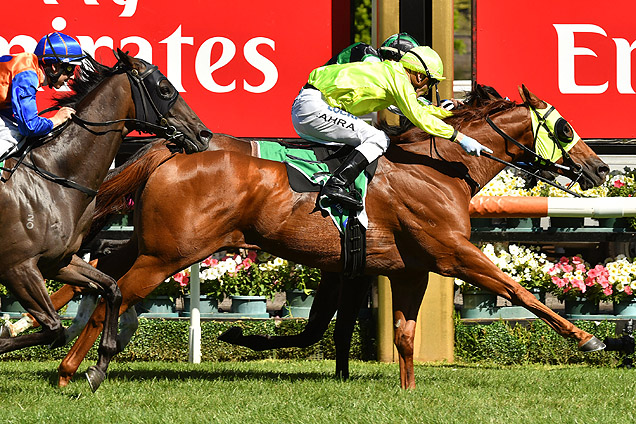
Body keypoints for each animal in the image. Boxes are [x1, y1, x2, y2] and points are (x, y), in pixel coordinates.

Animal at [0, 49, 211, 390]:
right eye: (164, 89)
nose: (204, 134)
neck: (54, 176)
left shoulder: (57, 262)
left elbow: (111, 289)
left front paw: (99, 366)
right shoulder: (17, 268)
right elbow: (54, 328)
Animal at [46, 84, 612, 390]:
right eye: (564, 128)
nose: (601, 168)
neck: (438, 169)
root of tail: (176, 149)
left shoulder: (406, 268)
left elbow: (402, 334)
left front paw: (407, 391)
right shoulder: (452, 253)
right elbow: (518, 291)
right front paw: (589, 338)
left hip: (151, 245)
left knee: (102, 273)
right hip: (169, 254)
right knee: (112, 296)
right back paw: (73, 370)